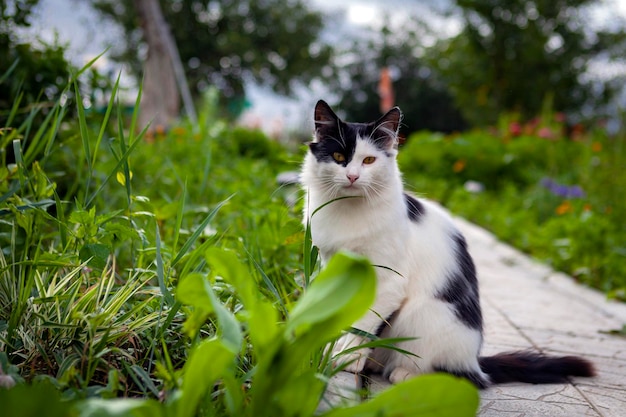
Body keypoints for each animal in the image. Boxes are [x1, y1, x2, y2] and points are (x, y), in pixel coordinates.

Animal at [300, 100, 592, 386]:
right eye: (339, 158)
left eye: (369, 160)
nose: (352, 177)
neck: (347, 211)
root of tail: (475, 363)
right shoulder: (332, 264)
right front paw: (328, 350)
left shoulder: (388, 281)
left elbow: (362, 323)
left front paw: (346, 358)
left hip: (424, 316)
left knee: (454, 375)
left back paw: (405, 374)